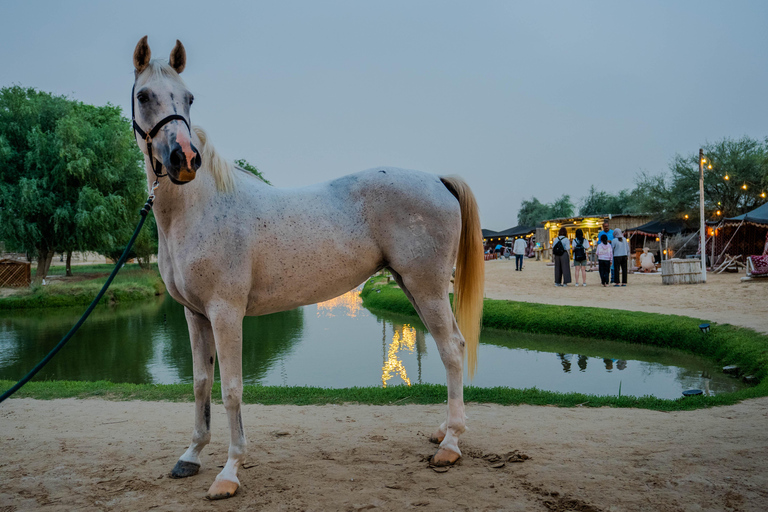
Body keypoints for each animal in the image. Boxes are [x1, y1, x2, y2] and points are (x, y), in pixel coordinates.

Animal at [129, 37, 484, 500]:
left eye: (189, 98)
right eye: (143, 96)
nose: (184, 159)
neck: (201, 209)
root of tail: (437, 180)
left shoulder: (226, 314)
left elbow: (232, 390)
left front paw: (229, 471)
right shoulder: (194, 315)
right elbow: (200, 384)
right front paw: (191, 456)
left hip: (427, 287)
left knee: (452, 349)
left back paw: (451, 445)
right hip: (411, 287)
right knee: (448, 349)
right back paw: (443, 430)